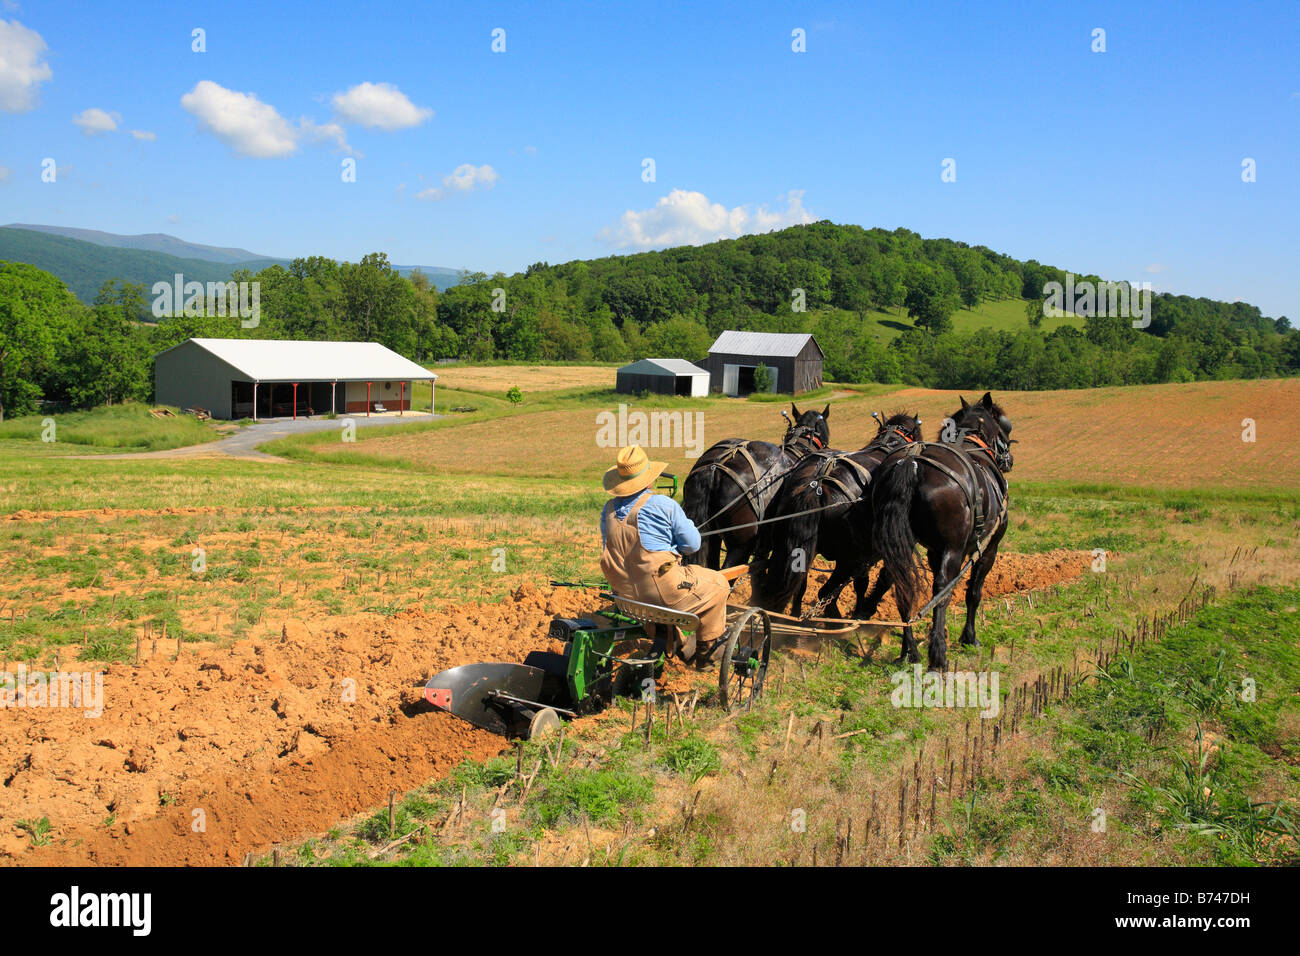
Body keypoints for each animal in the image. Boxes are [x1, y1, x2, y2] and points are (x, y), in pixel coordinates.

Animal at [751, 411, 923, 619]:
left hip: (789, 546)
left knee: (795, 585)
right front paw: (861, 612)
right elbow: (870, 582)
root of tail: (818, 482)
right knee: (826, 592)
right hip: (847, 560)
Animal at [869, 393, 1015, 670]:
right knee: (942, 591)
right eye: (1005, 424)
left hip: (899, 543)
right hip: (954, 549)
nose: (1008, 459)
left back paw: (909, 651)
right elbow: (973, 593)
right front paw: (969, 638)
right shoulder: (987, 548)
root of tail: (911, 461)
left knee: (902, 586)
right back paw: (938, 655)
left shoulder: (933, 551)